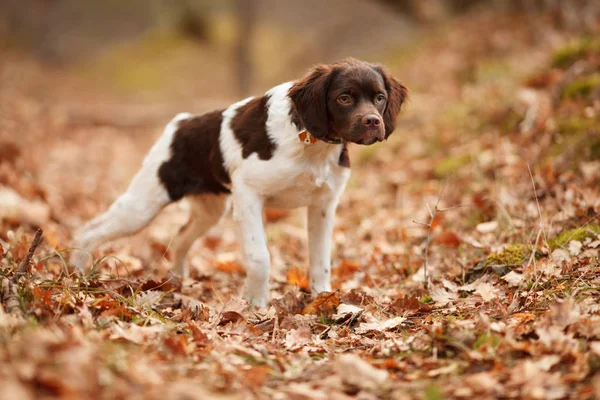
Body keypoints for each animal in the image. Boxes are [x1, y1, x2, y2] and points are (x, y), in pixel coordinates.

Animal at [70, 57, 408, 306]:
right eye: (344, 98)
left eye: (379, 98)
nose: (373, 122)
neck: (311, 143)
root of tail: (180, 122)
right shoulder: (248, 194)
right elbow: (259, 257)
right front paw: (256, 305)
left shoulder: (323, 204)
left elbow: (321, 257)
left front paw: (324, 299)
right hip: (143, 203)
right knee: (91, 229)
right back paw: (76, 274)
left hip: (209, 210)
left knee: (180, 237)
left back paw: (176, 281)